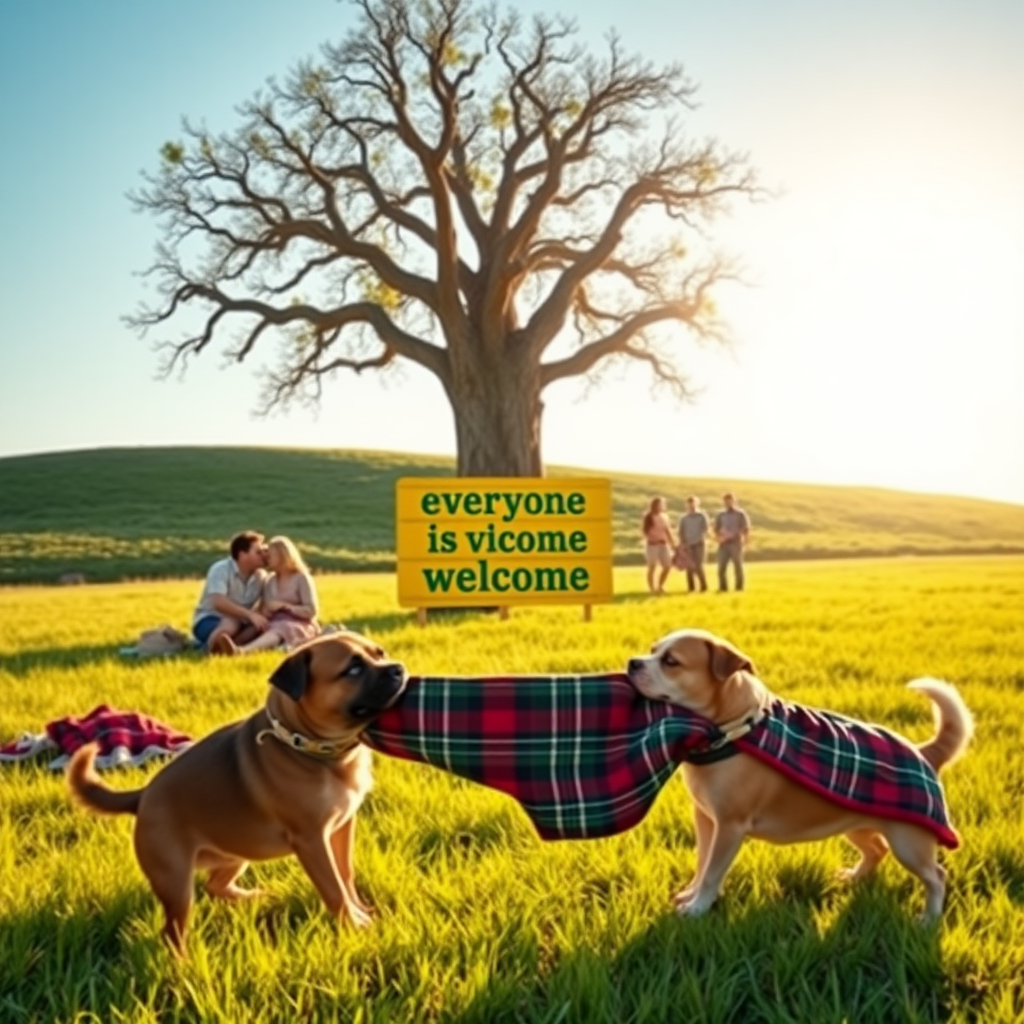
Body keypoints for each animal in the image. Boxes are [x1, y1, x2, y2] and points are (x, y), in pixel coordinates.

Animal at [65, 630, 403, 950]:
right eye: (353, 669)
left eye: (380, 653)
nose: (397, 668)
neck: (307, 746)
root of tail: (143, 795)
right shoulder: (311, 840)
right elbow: (333, 888)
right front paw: (355, 925)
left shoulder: (342, 826)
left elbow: (345, 874)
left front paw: (361, 910)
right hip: (176, 881)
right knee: (172, 932)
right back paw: (183, 965)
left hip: (236, 854)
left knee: (215, 886)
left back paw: (255, 897)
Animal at [626, 626, 970, 925]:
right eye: (652, 650)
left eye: (671, 661)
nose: (632, 663)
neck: (734, 729)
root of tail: (923, 752)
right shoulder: (706, 818)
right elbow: (702, 863)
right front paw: (691, 895)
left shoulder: (730, 826)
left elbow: (712, 871)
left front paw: (697, 908)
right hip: (856, 824)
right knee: (876, 849)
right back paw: (854, 878)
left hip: (909, 843)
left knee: (936, 876)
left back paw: (929, 919)